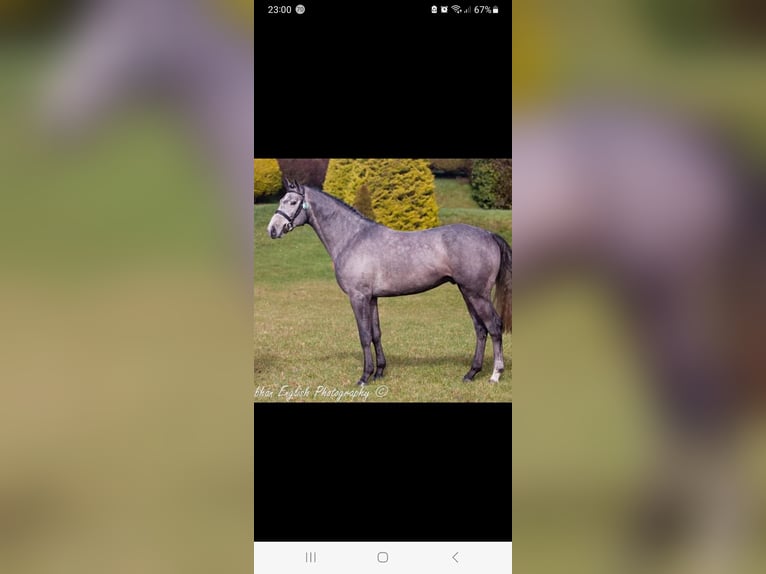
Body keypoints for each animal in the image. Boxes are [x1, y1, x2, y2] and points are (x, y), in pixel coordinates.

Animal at [267, 180, 512, 386]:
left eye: (293, 202)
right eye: (281, 201)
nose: (272, 229)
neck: (352, 237)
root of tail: (489, 234)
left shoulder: (358, 297)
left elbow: (364, 335)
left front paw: (364, 377)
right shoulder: (372, 298)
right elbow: (376, 334)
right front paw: (379, 372)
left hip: (477, 294)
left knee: (494, 327)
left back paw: (495, 375)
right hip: (467, 292)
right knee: (480, 329)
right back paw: (471, 373)